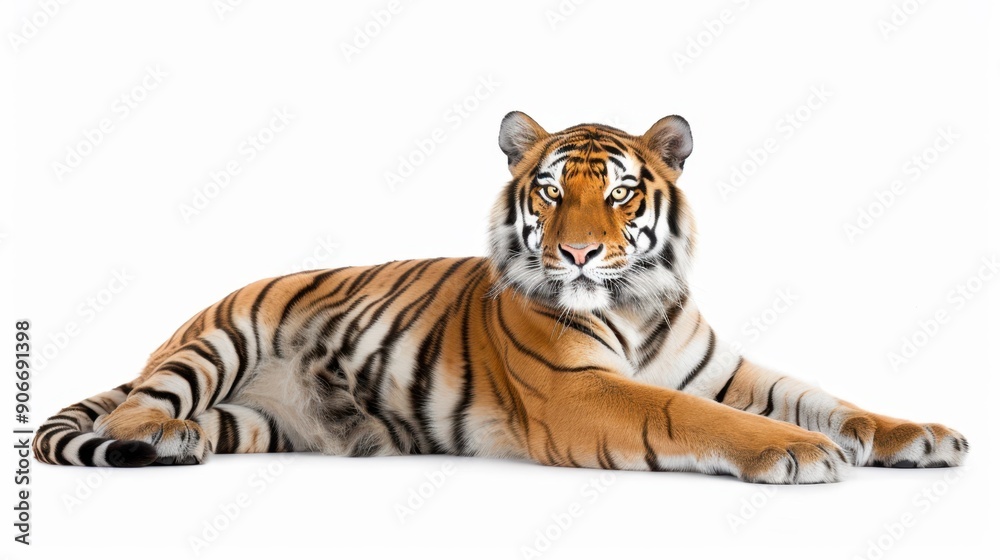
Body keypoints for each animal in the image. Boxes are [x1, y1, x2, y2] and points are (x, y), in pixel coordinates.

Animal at [33, 112, 968, 483]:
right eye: (551, 192)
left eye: (621, 193)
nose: (580, 251)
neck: (634, 303)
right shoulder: (578, 392)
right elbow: (694, 417)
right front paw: (801, 452)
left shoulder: (725, 369)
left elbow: (823, 397)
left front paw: (918, 435)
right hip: (214, 342)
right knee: (139, 409)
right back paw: (165, 437)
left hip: (258, 423)